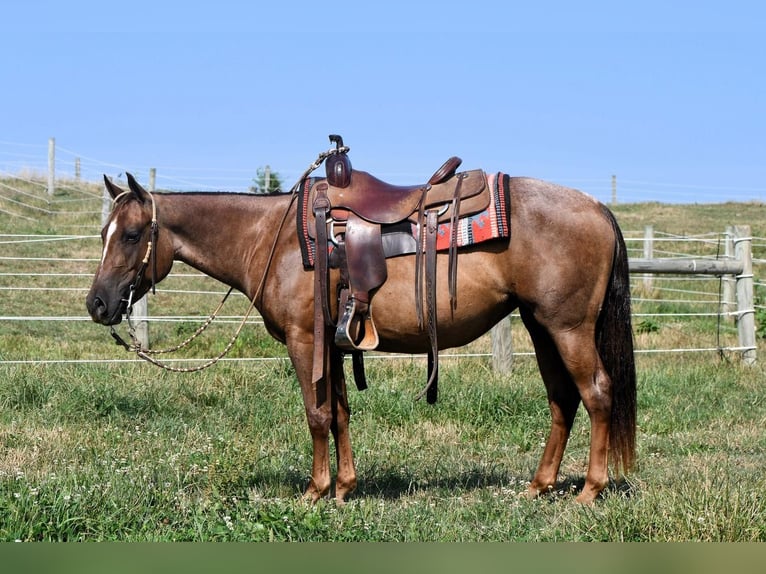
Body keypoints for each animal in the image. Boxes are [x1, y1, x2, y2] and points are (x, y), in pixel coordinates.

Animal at [85, 166, 636, 504]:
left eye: (131, 235)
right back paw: (539, 485)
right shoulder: (332, 343)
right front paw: (345, 487)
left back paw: (589, 490)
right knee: (562, 400)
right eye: (104, 234)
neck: (273, 239)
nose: (97, 304)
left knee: (597, 394)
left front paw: (315, 490)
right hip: (542, 328)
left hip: (568, 329)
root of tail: (598, 208)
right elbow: (340, 412)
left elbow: (316, 414)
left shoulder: (304, 340)